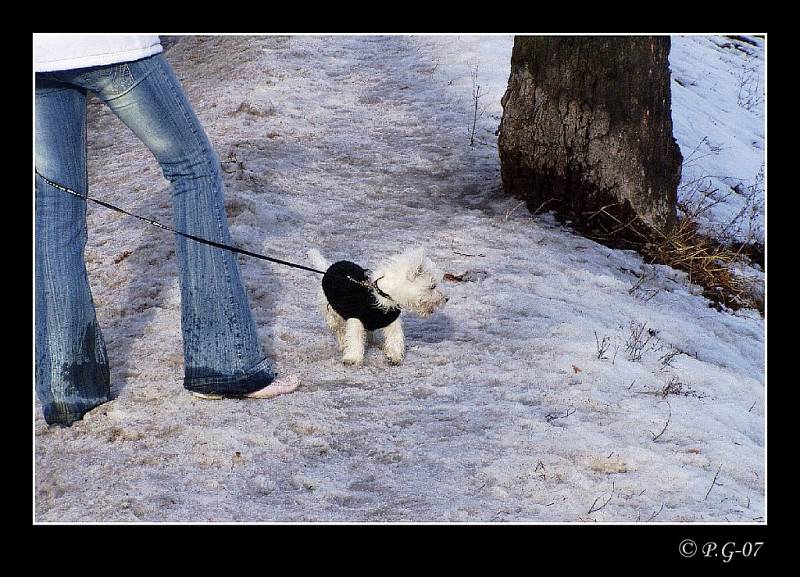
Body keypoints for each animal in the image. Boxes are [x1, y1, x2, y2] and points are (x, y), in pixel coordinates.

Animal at [306, 248, 446, 364]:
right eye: (432, 286)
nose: (446, 299)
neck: (382, 294)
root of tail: (328, 268)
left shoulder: (392, 320)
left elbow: (395, 337)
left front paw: (394, 356)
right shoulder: (356, 318)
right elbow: (354, 338)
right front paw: (352, 358)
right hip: (333, 314)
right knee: (339, 329)